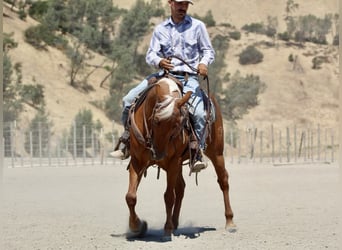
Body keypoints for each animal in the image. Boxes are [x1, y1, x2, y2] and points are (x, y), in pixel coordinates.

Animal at [125, 76, 235, 240]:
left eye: (177, 124)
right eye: (155, 120)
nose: (158, 154)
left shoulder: (173, 162)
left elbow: (169, 196)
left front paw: (167, 229)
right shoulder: (137, 161)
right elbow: (131, 196)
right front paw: (137, 227)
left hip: (216, 152)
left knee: (223, 180)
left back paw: (230, 222)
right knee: (181, 187)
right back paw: (175, 223)